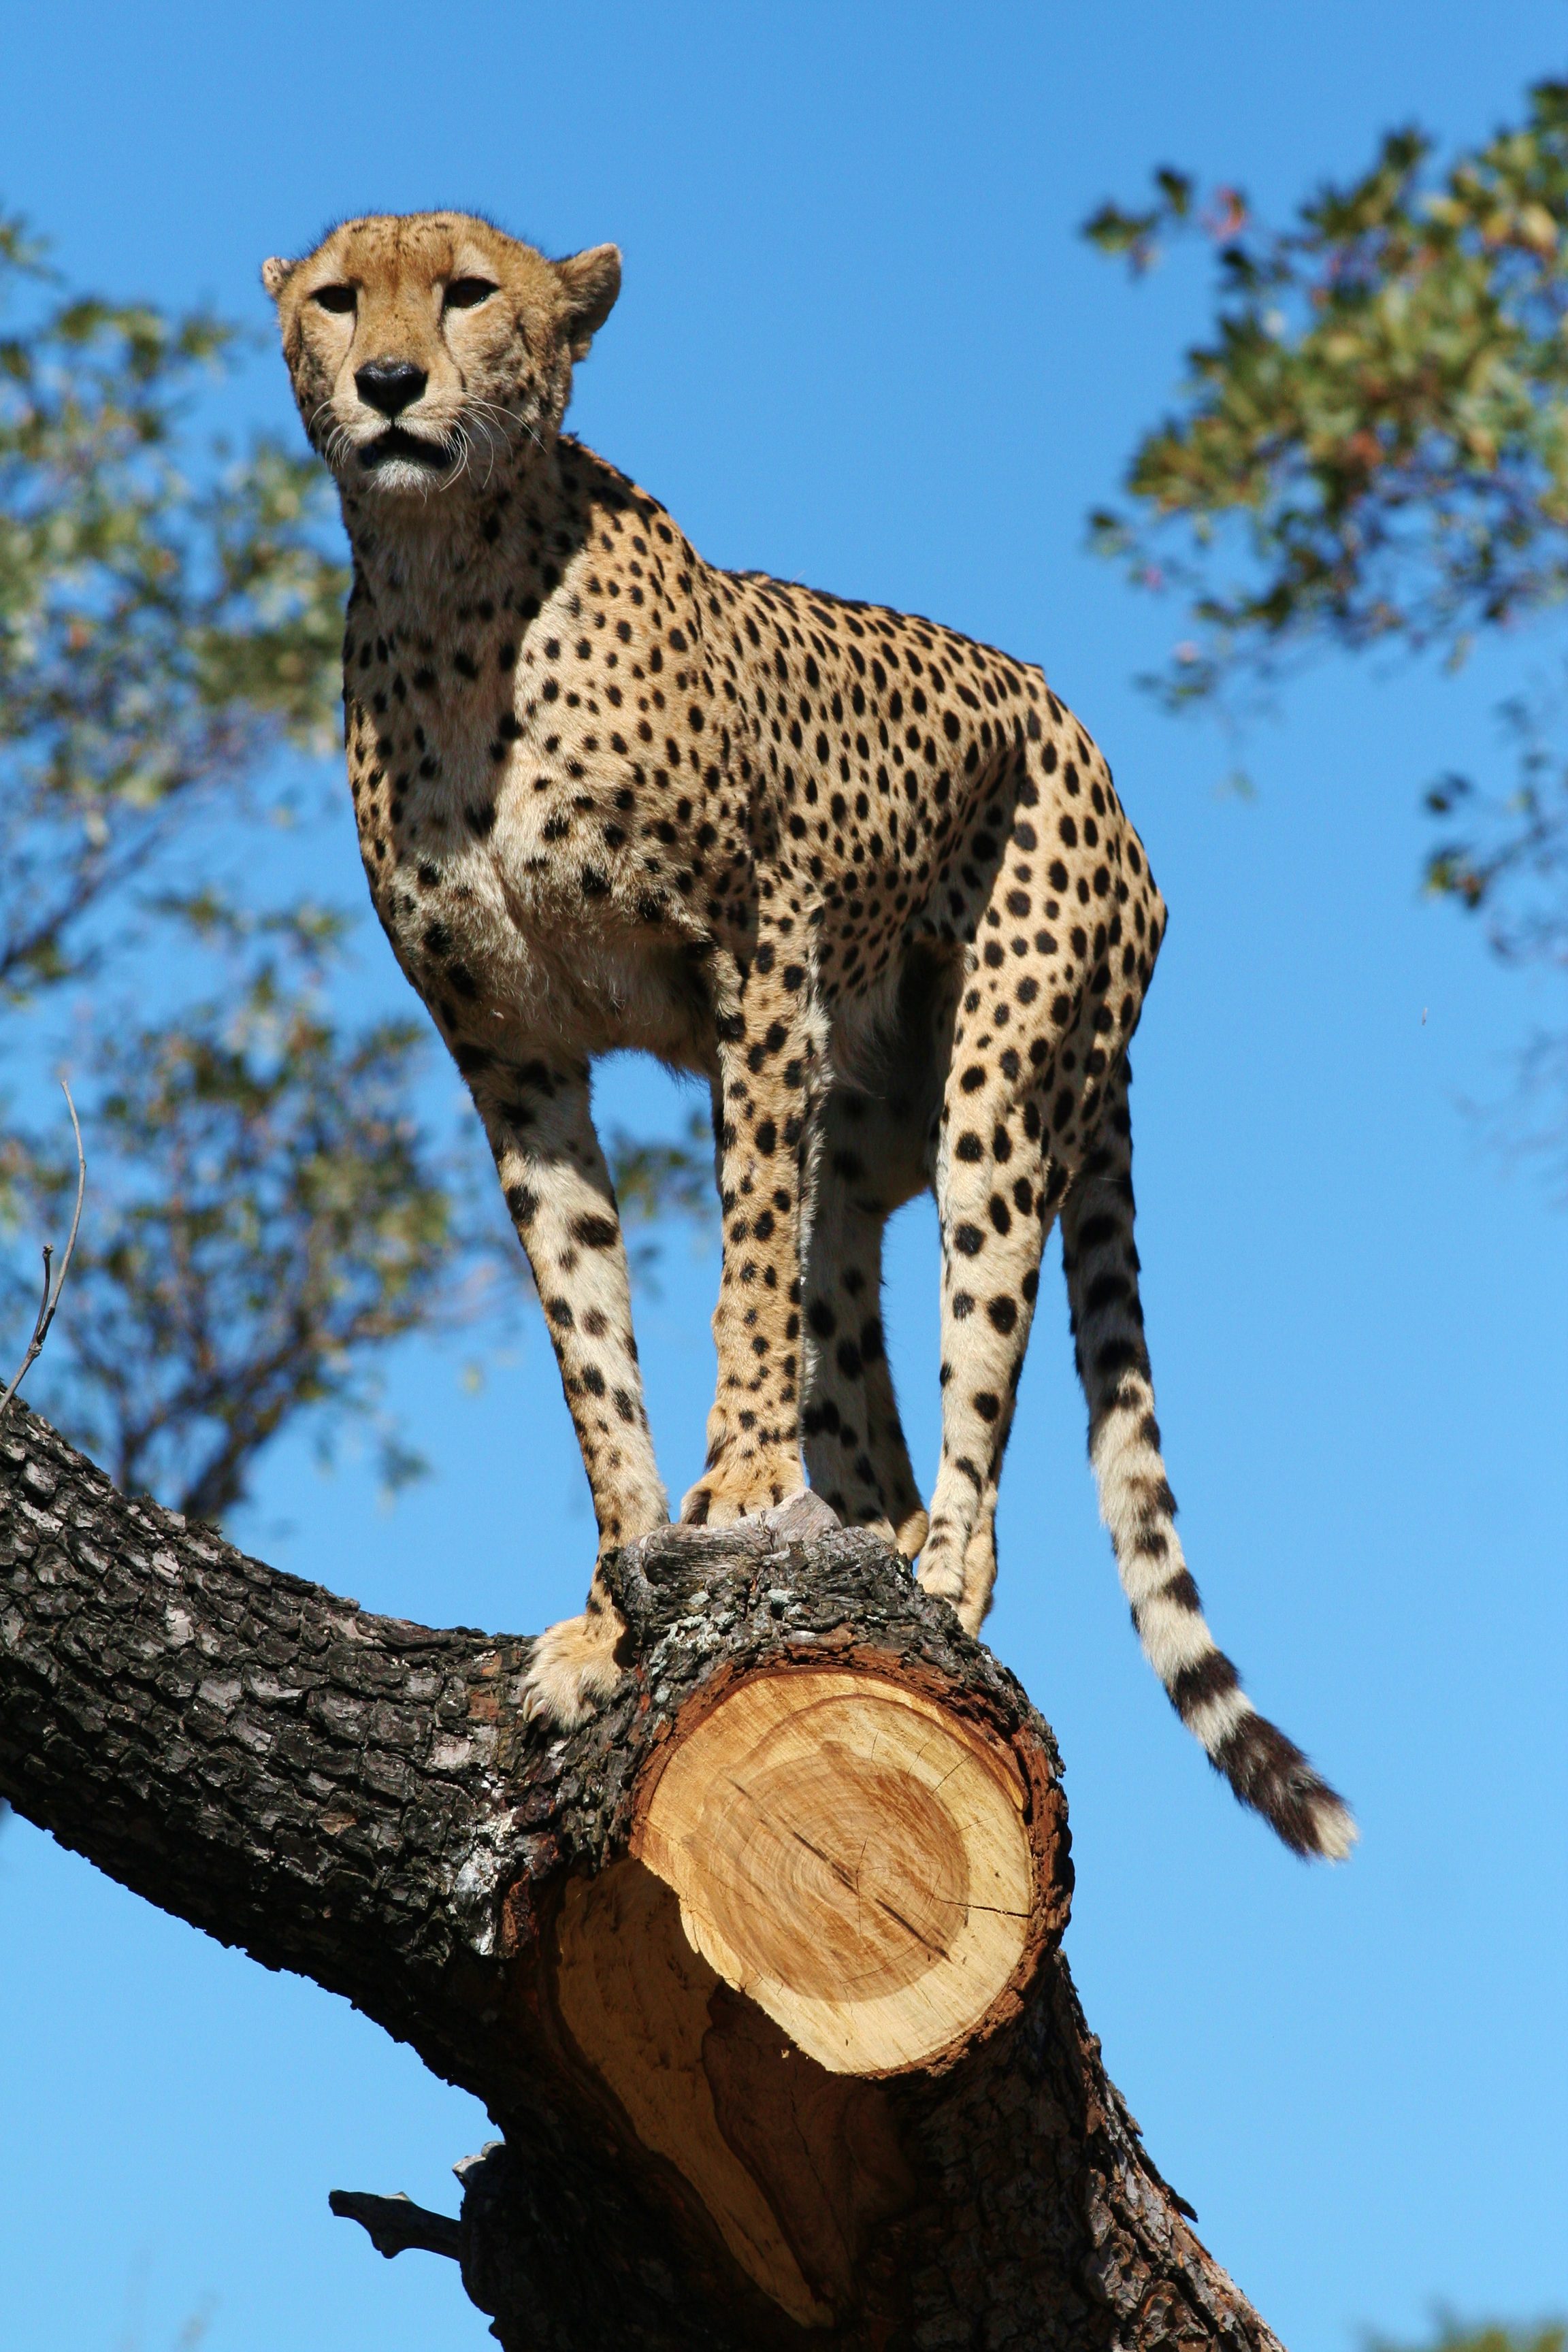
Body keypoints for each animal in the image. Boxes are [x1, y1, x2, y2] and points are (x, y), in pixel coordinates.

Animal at [263, 212, 1354, 1853]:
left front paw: (729, 1494)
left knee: (969, 1371)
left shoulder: (761, 966)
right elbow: (589, 1338)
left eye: (466, 294)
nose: (388, 385)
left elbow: (741, 1277)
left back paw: (935, 1565)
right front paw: (611, 1610)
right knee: (853, 1343)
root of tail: (1088, 744)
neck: (450, 584)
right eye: (338, 300)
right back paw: (865, 1533)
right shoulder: (509, 1054)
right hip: (865, 1138)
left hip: (998, 1089)